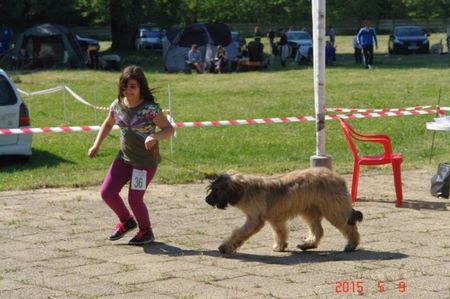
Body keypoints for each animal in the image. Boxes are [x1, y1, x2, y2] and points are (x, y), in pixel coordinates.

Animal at [206, 168, 364, 254]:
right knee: (318, 230)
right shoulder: (276, 218)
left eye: (216, 190)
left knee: (349, 226)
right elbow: (280, 232)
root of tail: (338, 178)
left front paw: (225, 247)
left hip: (334, 209)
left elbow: (239, 233)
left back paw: (351, 244)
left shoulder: (254, 219)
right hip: (310, 210)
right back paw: (308, 244)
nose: (207, 200)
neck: (245, 189)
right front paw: (280, 246)